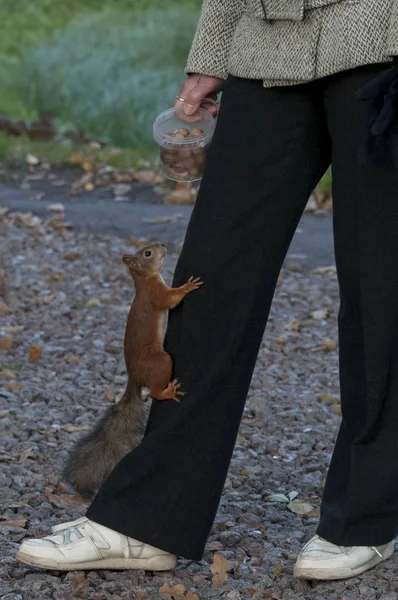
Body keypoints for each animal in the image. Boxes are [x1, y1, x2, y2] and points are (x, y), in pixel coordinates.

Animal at [64, 241, 205, 500]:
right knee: (153, 392)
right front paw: (188, 286)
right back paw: (167, 392)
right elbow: (171, 299)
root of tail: (134, 378)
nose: (162, 245)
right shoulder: (156, 294)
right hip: (161, 361)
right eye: (148, 253)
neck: (142, 280)